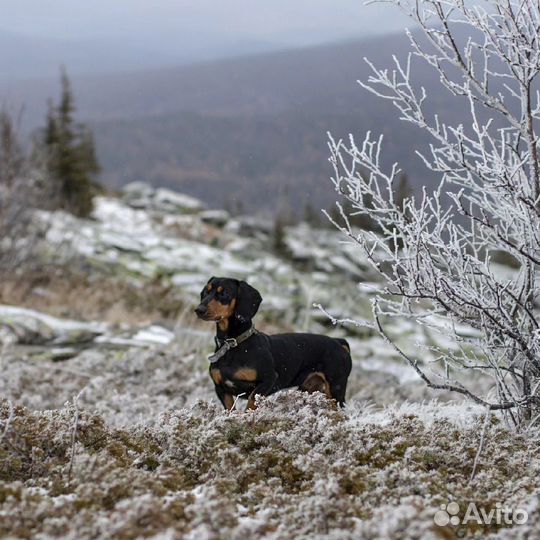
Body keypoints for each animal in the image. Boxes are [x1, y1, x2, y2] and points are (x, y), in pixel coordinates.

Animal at [196, 278, 352, 410]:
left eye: (225, 293)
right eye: (206, 292)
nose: (199, 310)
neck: (233, 344)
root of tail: (338, 342)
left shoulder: (268, 379)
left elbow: (252, 400)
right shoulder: (221, 389)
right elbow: (231, 410)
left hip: (336, 388)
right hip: (310, 389)